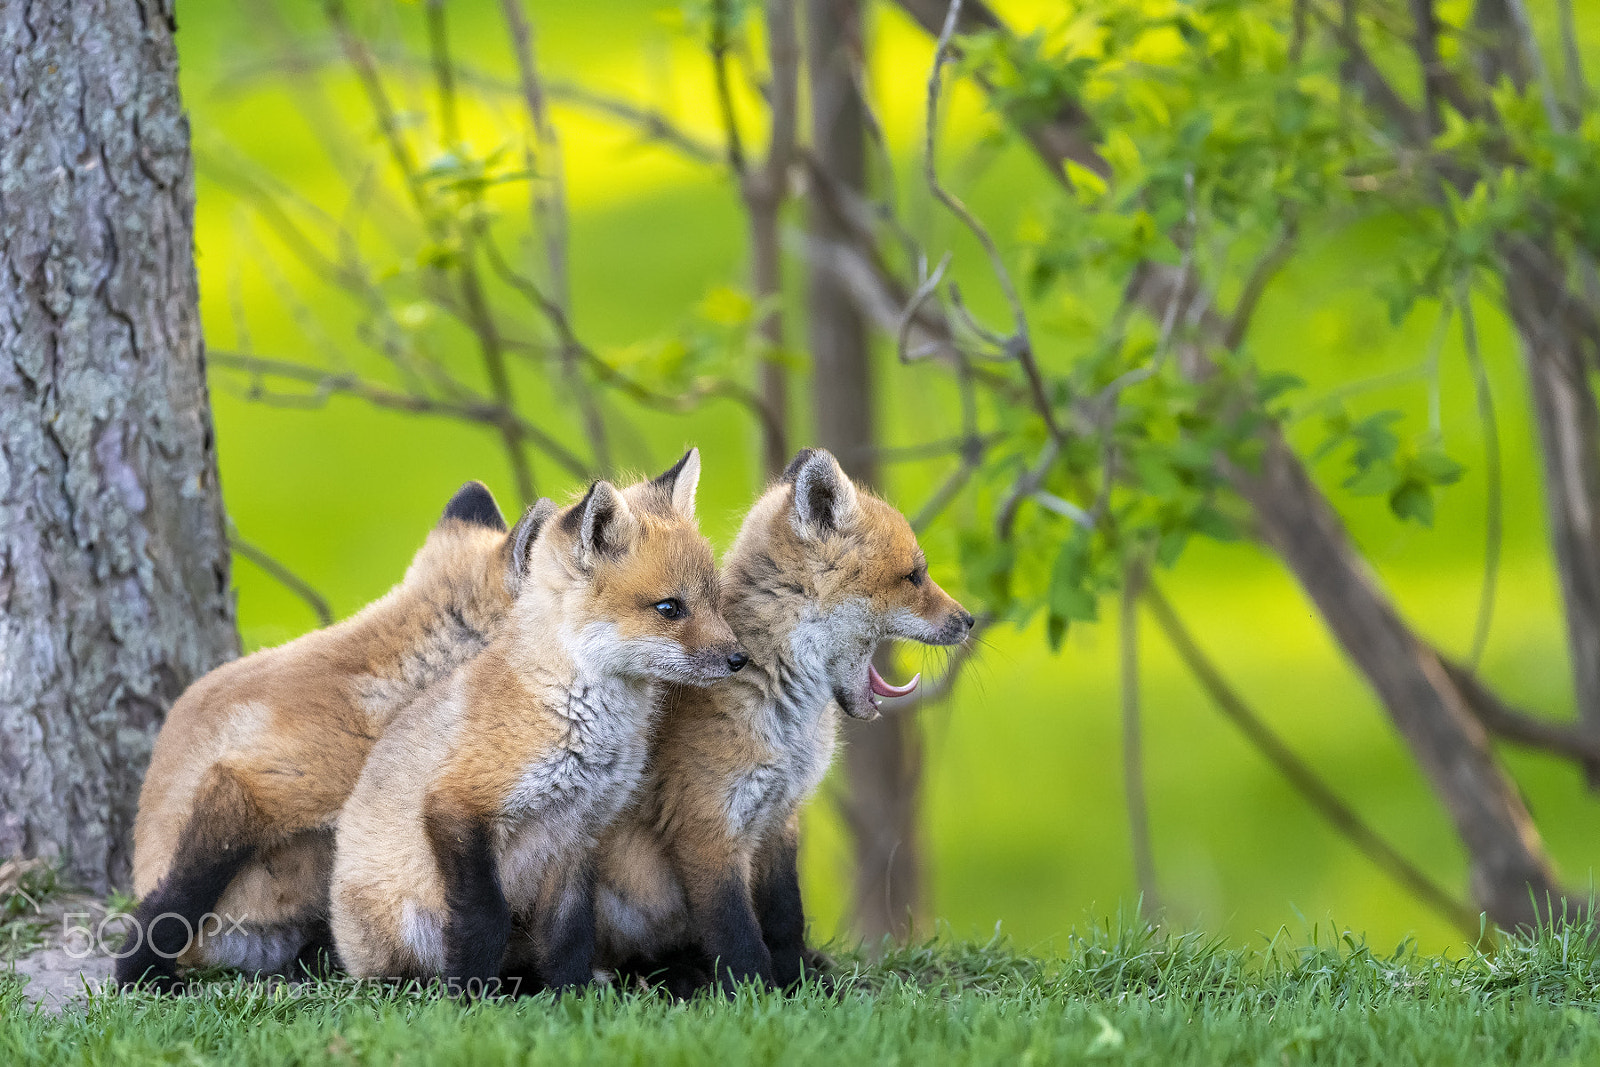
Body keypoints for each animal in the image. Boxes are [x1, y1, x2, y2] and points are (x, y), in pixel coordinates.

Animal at [329, 449, 747, 991]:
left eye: (714, 602)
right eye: (669, 608)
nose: (740, 659)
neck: (571, 711)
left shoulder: (579, 834)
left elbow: (570, 933)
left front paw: (570, 996)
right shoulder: (458, 805)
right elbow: (486, 920)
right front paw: (467, 997)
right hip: (406, 925)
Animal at [592, 447, 974, 995]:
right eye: (915, 576)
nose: (969, 621)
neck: (786, 721)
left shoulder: (781, 817)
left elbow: (785, 917)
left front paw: (800, 985)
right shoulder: (708, 827)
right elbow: (737, 933)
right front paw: (757, 996)